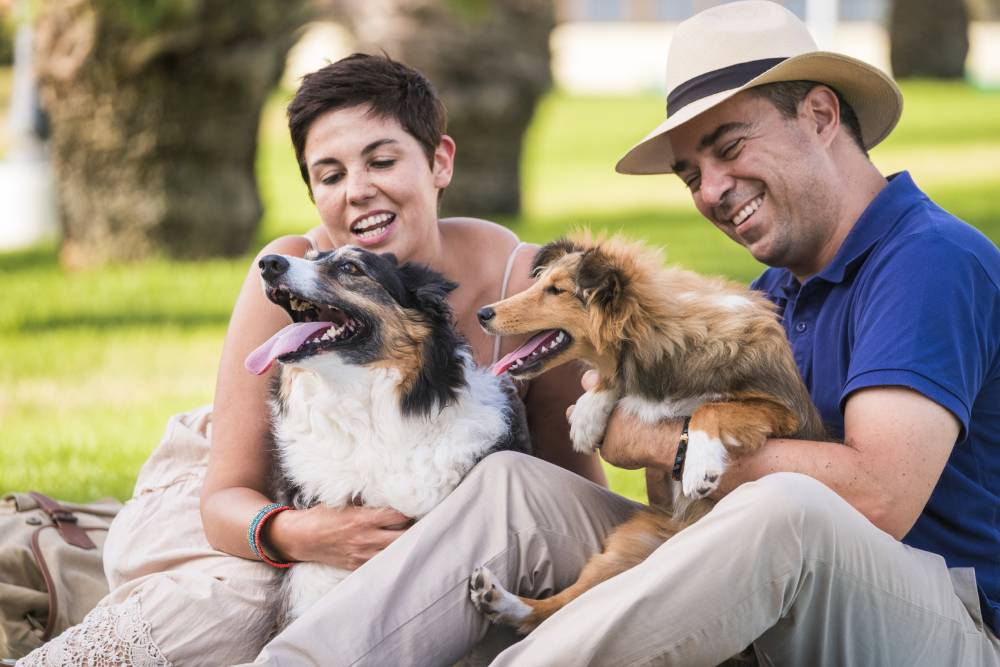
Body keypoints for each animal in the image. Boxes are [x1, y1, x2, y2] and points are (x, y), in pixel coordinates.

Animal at [466, 232, 820, 636]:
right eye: (540, 283)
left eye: (556, 290)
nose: (483, 314)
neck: (658, 334)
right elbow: (617, 382)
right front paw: (589, 413)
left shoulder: (786, 412)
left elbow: (709, 408)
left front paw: (699, 466)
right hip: (625, 546)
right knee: (558, 608)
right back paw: (499, 600)